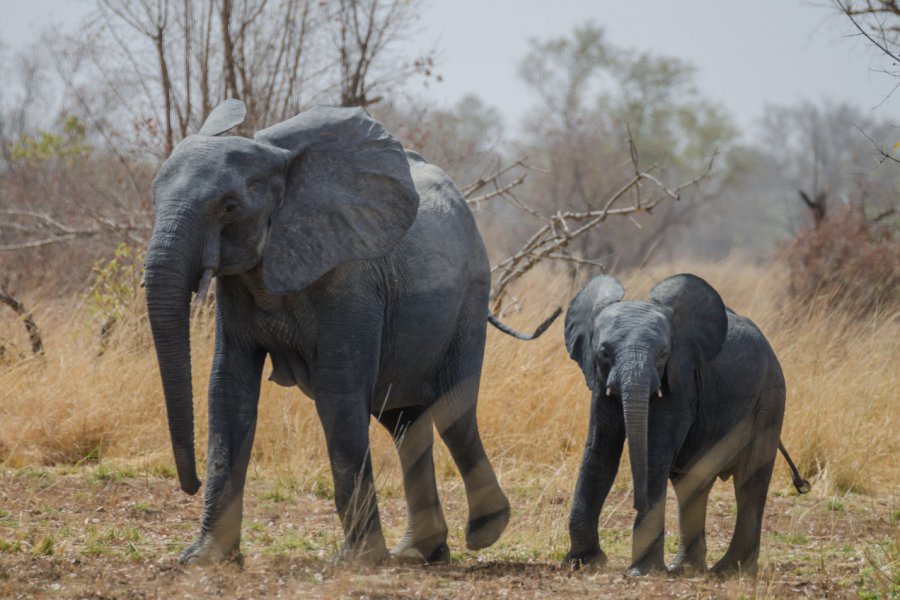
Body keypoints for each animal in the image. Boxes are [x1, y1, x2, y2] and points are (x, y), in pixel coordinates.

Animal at [142, 99, 556, 568]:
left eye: (229, 207)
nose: (189, 484)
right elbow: (228, 390)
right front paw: (203, 559)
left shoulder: (351, 277)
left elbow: (337, 392)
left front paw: (358, 562)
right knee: (405, 422)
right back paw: (419, 553)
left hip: (469, 295)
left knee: (454, 412)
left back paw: (485, 531)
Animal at [564, 274, 808, 576]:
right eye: (604, 353)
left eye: (663, 354)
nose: (636, 502)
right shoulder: (599, 382)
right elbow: (599, 453)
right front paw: (582, 562)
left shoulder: (681, 384)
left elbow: (655, 454)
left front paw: (642, 571)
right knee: (691, 485)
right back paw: (688, 569)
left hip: (770, 399)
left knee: (749, 484)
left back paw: (730, 572)